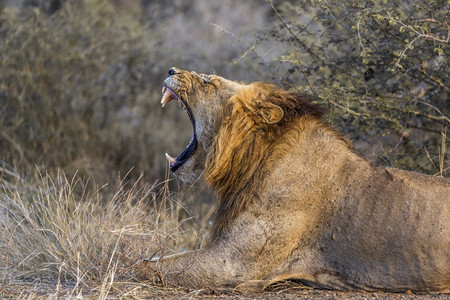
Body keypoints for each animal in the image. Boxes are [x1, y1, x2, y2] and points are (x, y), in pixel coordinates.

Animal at [137, 66, 450, 292]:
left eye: (207, 81)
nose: (170, 69)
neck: (253, 158)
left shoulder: (232, 264)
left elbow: (145, 265)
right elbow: (157, 257)